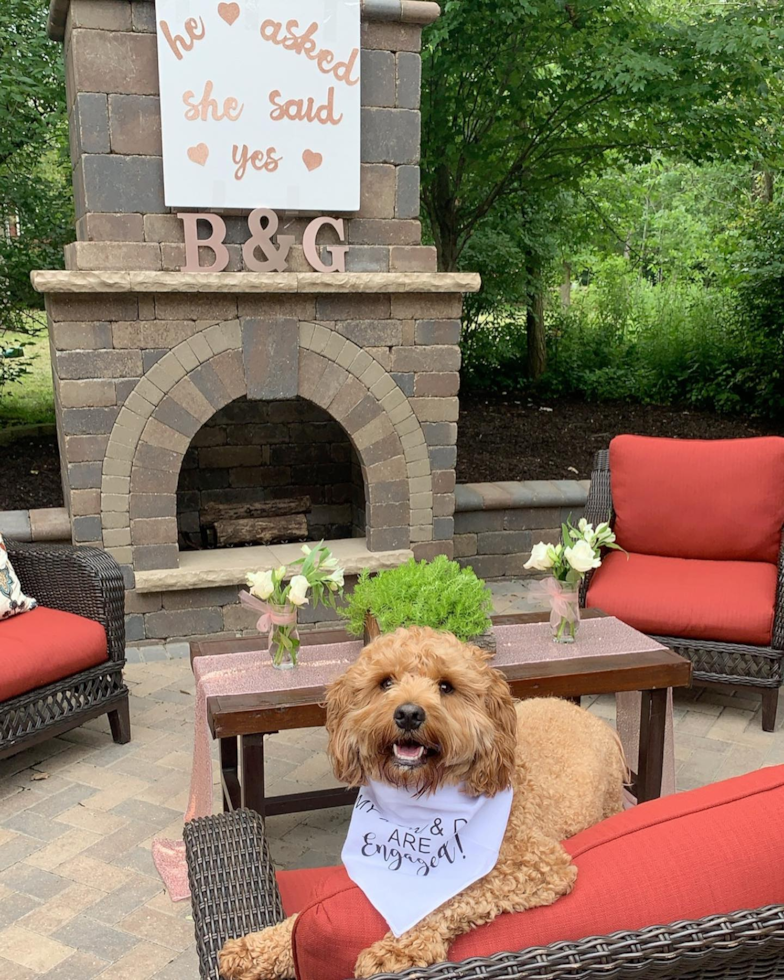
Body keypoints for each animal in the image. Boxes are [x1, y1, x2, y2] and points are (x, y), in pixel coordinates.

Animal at [219, 628, 624, 980]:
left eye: (446, 686)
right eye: (386, 682)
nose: (409, 713)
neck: (420, 801)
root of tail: (596, 720)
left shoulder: (538, 865)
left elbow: (449, 897)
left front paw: (397, 949)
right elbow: (298, 921)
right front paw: (257, 947)